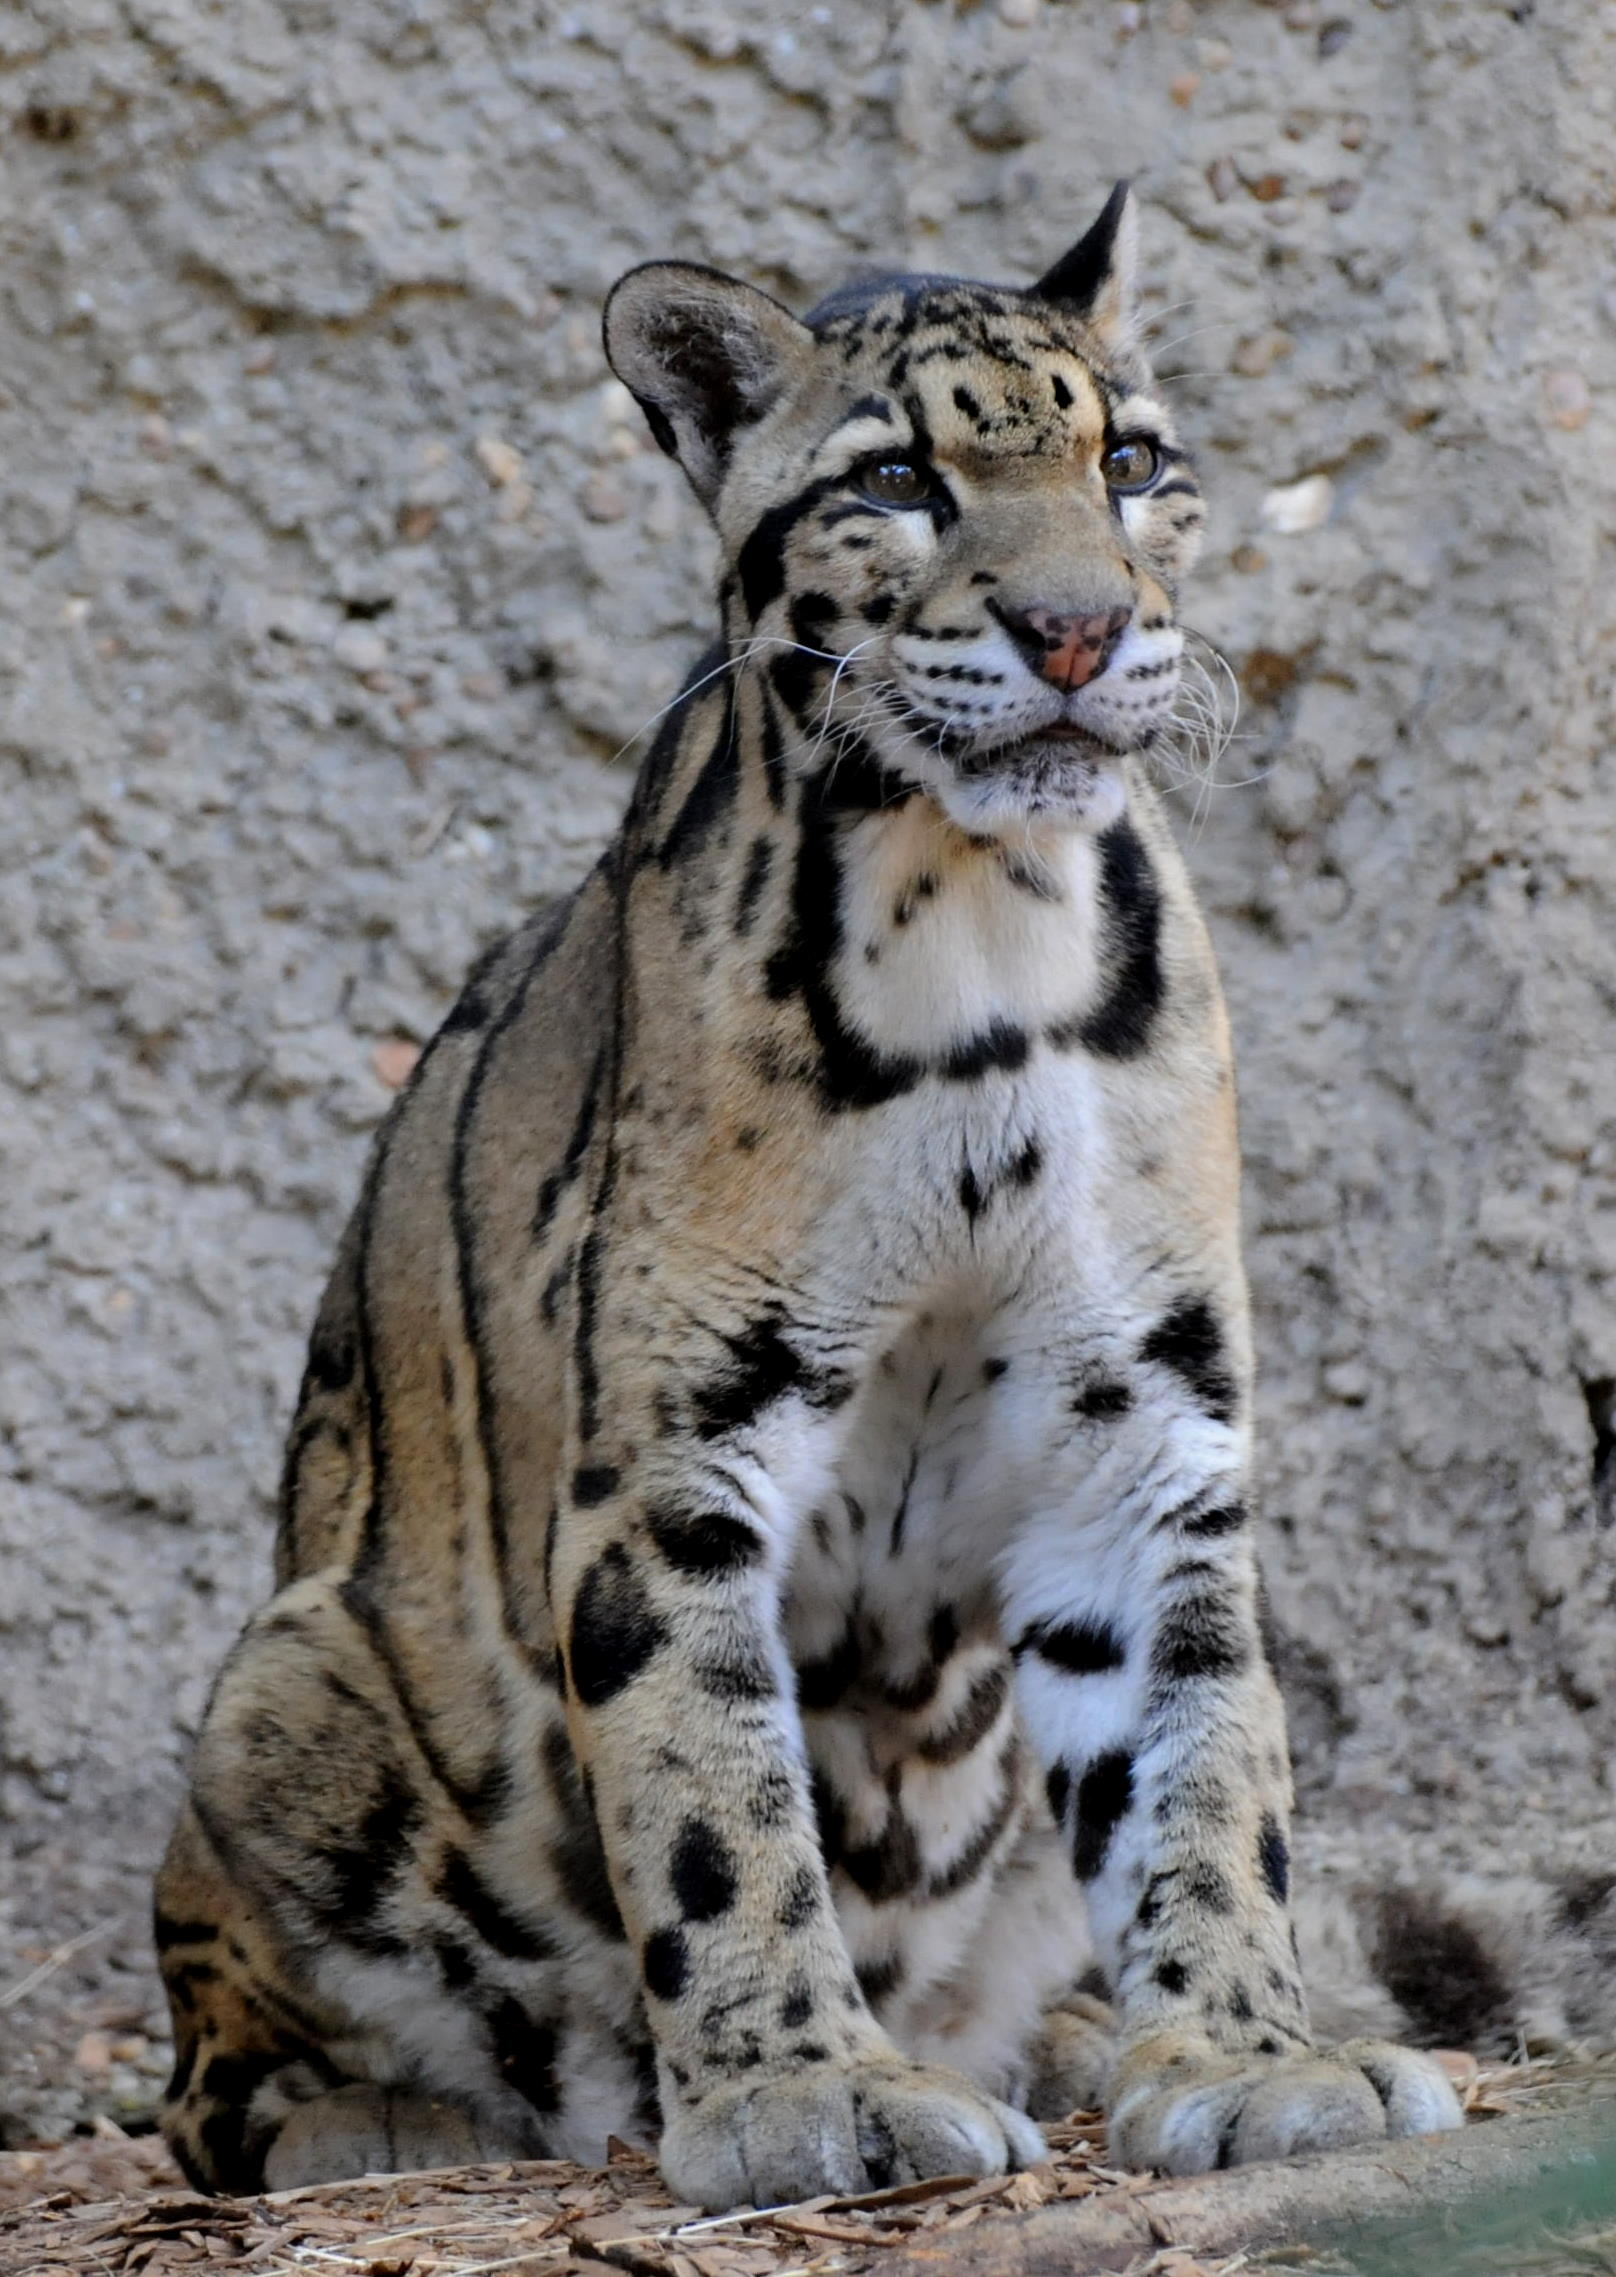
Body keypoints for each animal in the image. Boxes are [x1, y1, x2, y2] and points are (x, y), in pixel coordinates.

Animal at [154, 185, 1467, 2209]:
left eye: (1130, 460)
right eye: (903, 480)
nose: (1078, 629)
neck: (987, 919)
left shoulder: (1138, 1416)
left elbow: (1205, 1755)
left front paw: (1253, 2050)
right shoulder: (676, 1458)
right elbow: (712, 1794)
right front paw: (802, 2089)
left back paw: (1058, 2033)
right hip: (282, 1681)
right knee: (224, 2058)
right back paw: (378, 2116)